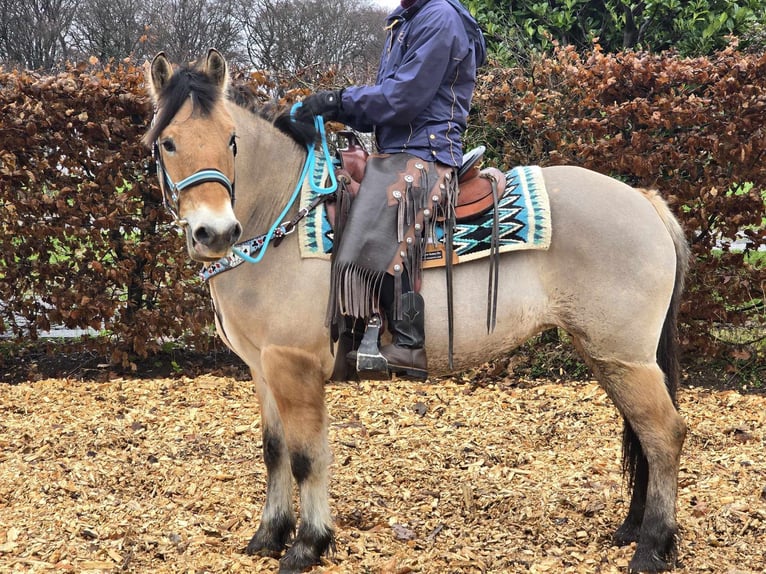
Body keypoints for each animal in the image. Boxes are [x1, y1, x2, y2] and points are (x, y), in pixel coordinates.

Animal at [142, 50, 688, 574]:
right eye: (167, 143)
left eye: (231, 140)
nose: (215, 232)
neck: (283, 216)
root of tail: (643, 200)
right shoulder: (262, 368)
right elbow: (274, 452)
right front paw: (269, 536)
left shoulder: (293, 366)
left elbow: (306, 457)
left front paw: (308, 545)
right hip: (608, 355)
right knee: (643, 433)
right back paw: (634, 531)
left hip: (625, 357)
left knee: (664, 435)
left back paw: (651, 548)